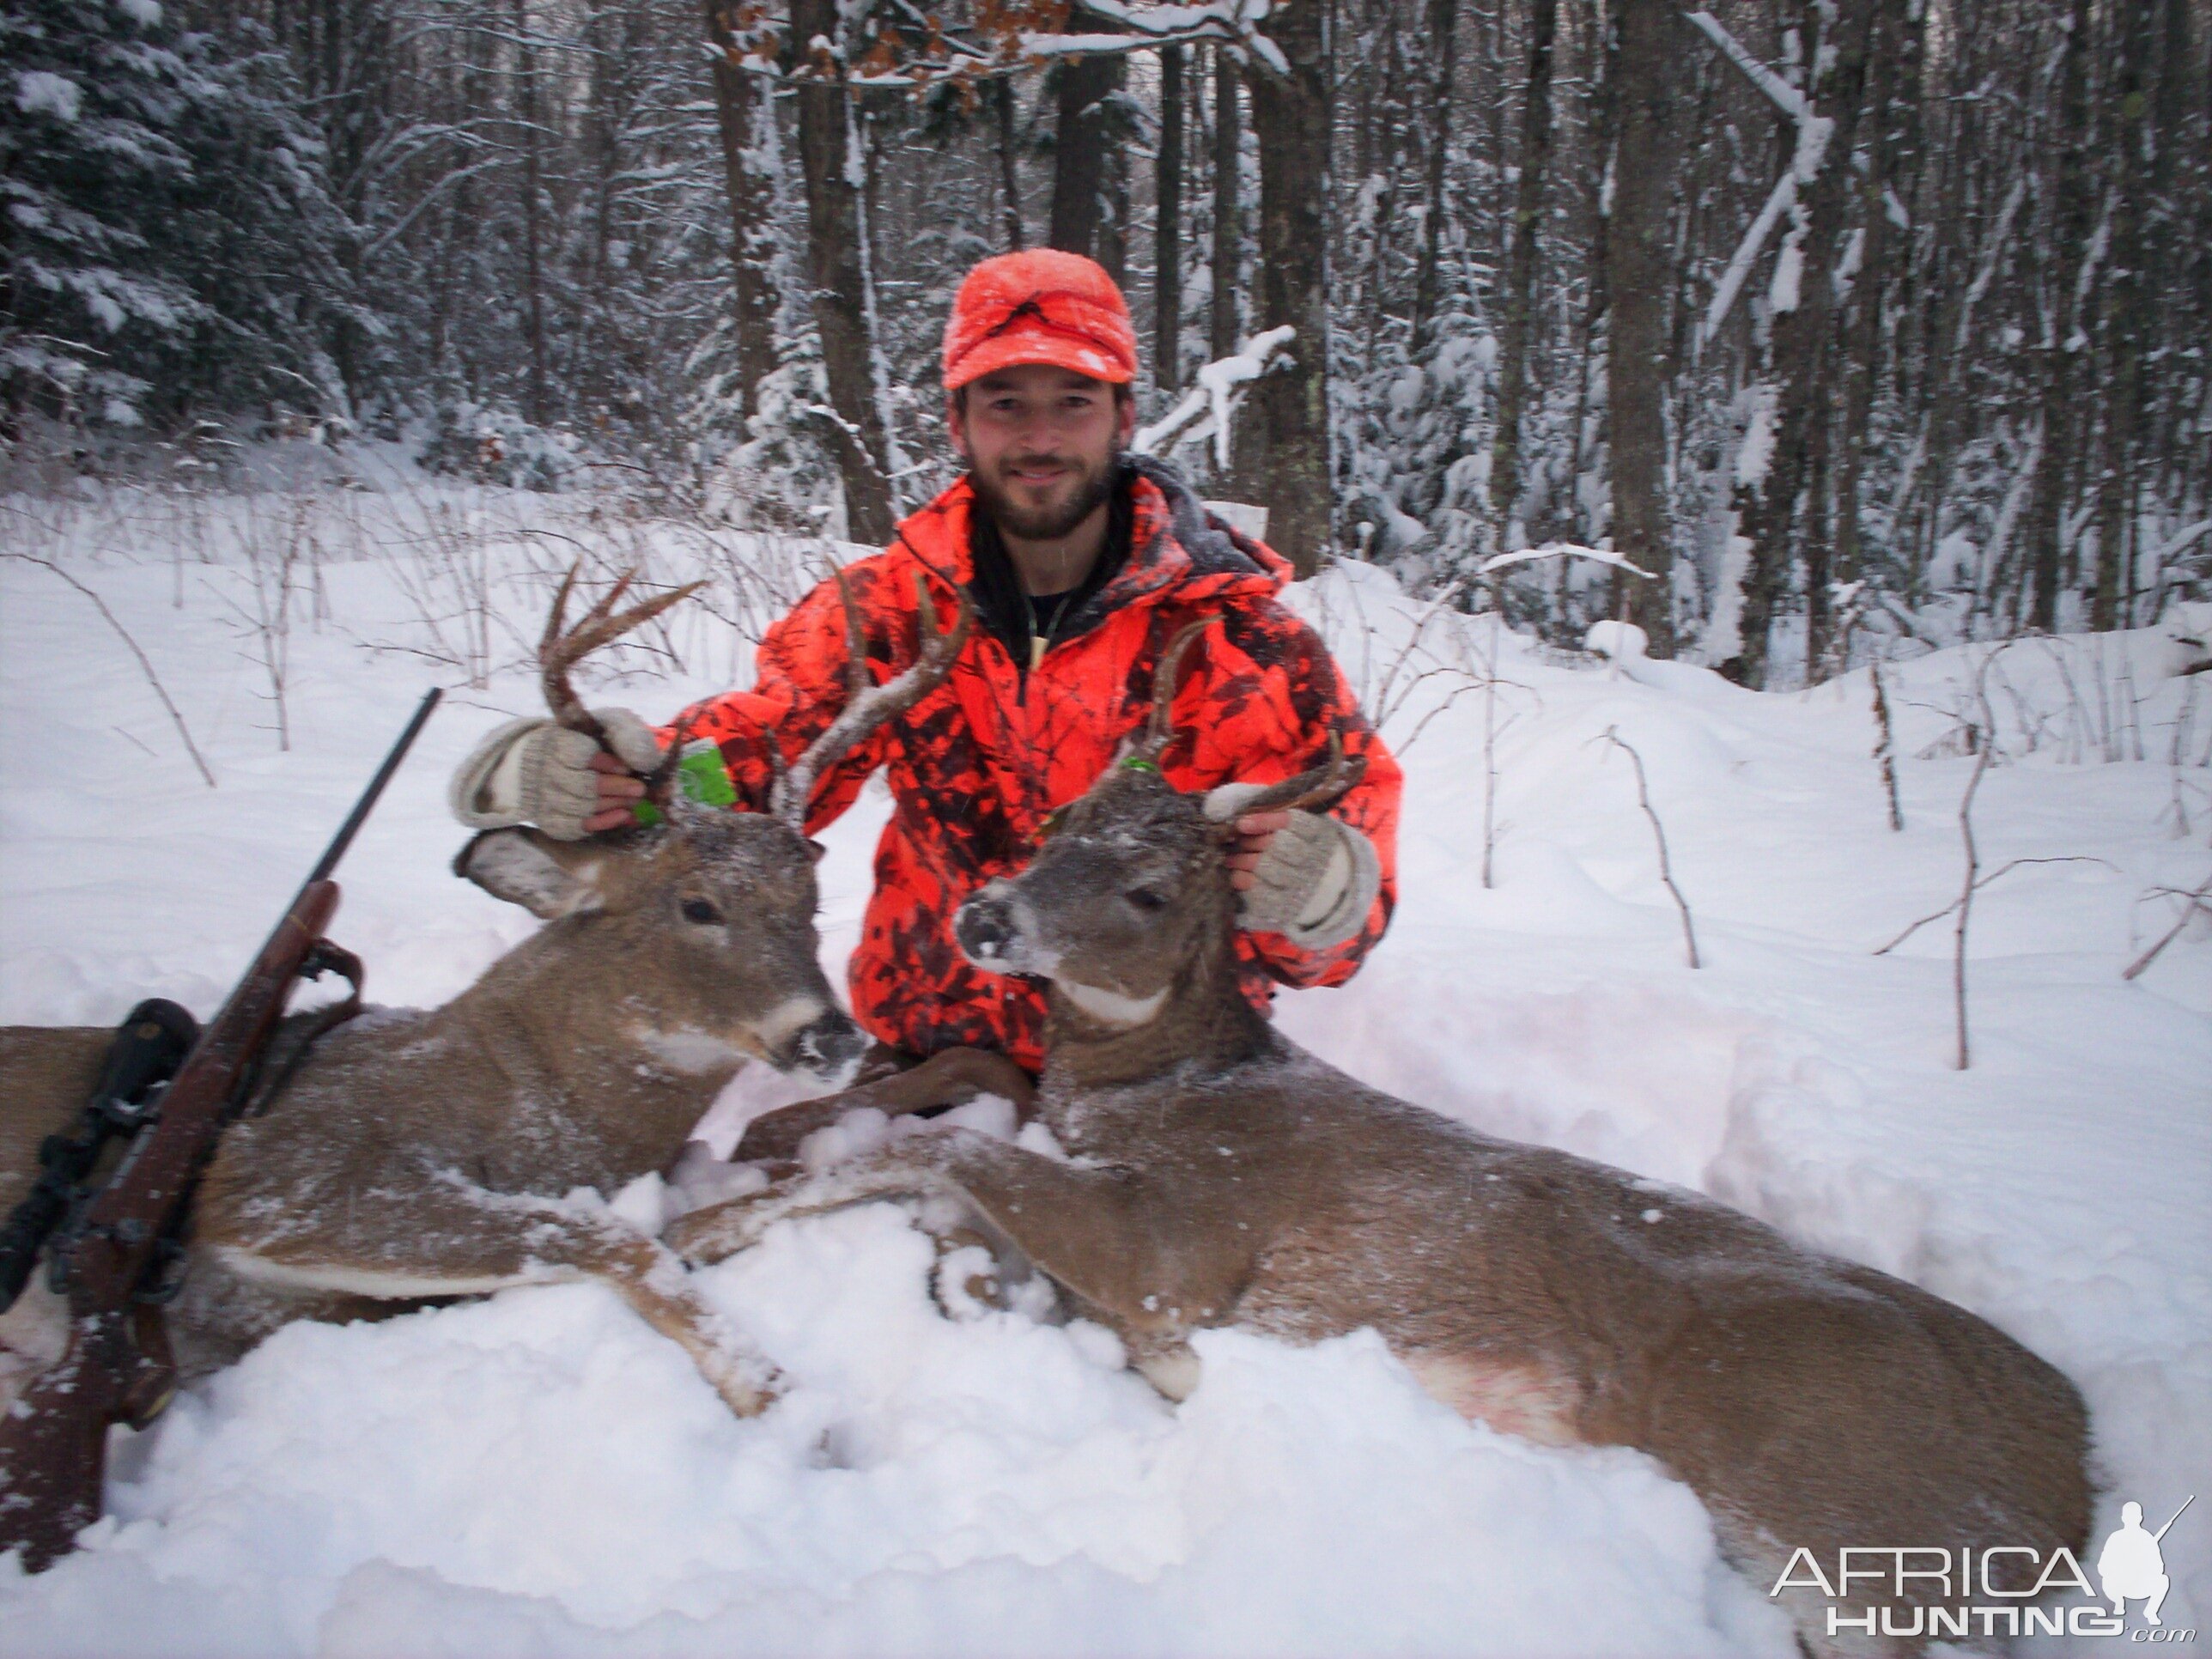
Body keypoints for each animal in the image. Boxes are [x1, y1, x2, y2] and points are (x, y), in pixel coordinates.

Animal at [2, 570, 969, 1415]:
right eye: (697, 904)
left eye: (811, 905)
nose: (831, 1039)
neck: (528, 1106)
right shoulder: (278, 1174)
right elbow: (608, 1236)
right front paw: (777, 1397)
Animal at [672, 623, 2087, 1654]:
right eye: (1062, 820)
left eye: (1152, 889)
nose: (986, 918)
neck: (1167, 1086)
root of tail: (2073, 1476)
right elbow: (958, 1106)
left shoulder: (1181, 1248)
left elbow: (940, 1153)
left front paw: (706, 1225)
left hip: (1827, 1509)